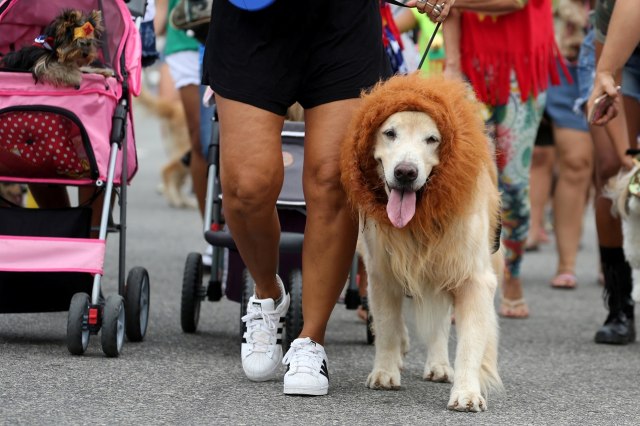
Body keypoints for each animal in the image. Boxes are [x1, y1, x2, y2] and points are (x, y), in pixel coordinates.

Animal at [342, 74, 502, 412]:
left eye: (432, 139)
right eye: (390, 133)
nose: (405, 172)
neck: (420, 222)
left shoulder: (473, 277)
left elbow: (470, 342)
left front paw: (467, 392)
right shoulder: (381, 273)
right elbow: (387, 325)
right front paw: (385, 372)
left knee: (440, 323)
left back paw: (439, 366)